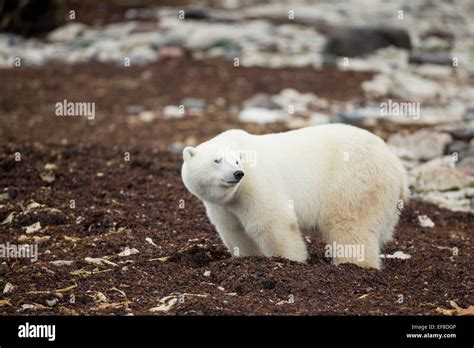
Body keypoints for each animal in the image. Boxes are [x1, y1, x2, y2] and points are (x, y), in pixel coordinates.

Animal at [180, 125, 410, 270]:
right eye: (217, 160)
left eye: (237, 161)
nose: (237, 174)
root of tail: (398, 169)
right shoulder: (223, 205)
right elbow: (235, 230)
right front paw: (247, 258)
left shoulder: (255, 183)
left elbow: (274, 223)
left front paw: (290, 261)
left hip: (354, 180)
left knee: (348, 225)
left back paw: (355, 265)